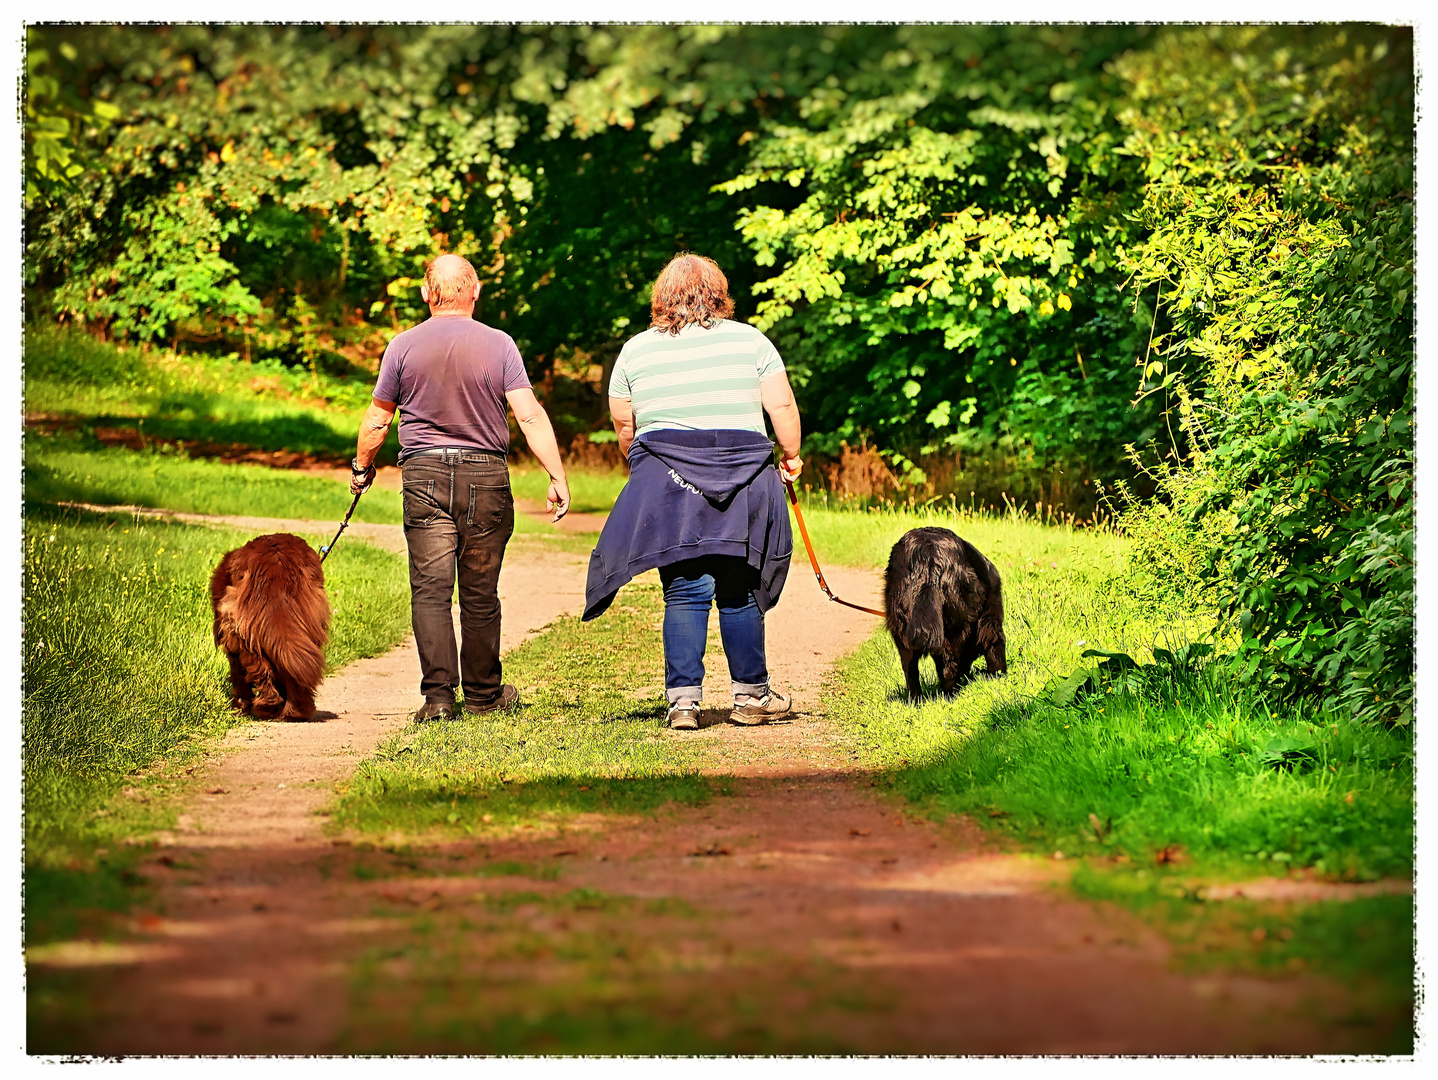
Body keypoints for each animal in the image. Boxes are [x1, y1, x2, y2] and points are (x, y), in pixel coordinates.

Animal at [209, 532, 329, 719]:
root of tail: (276, 564)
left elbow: (238, 675)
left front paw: (239, 707)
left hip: (243, 632)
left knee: (259, 667)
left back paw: (268, 706)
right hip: (307, 623)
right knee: (293, 671)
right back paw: (296, 711)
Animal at [880, 529, 1006, 701]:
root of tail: (929, 559)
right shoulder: (991, 619)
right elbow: (995, 646)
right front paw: (999, 677)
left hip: (901, 627)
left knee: (910, 668)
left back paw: (917, 701)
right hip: (958, 626)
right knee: (949, 665)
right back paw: (950, 695)